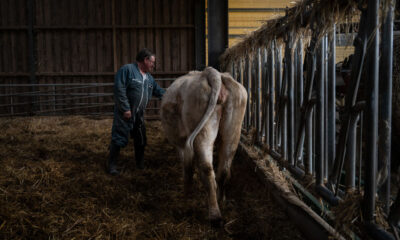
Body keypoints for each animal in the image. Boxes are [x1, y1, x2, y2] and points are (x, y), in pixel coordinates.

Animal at [159, 67, 247, 225]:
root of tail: (211, 73)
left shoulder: (181, 146)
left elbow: (187, 169)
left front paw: (187, 192)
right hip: (233, 130)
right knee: (223, 168)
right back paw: (221, 200)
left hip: (203, 132)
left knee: (207, 169)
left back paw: (214, 214)